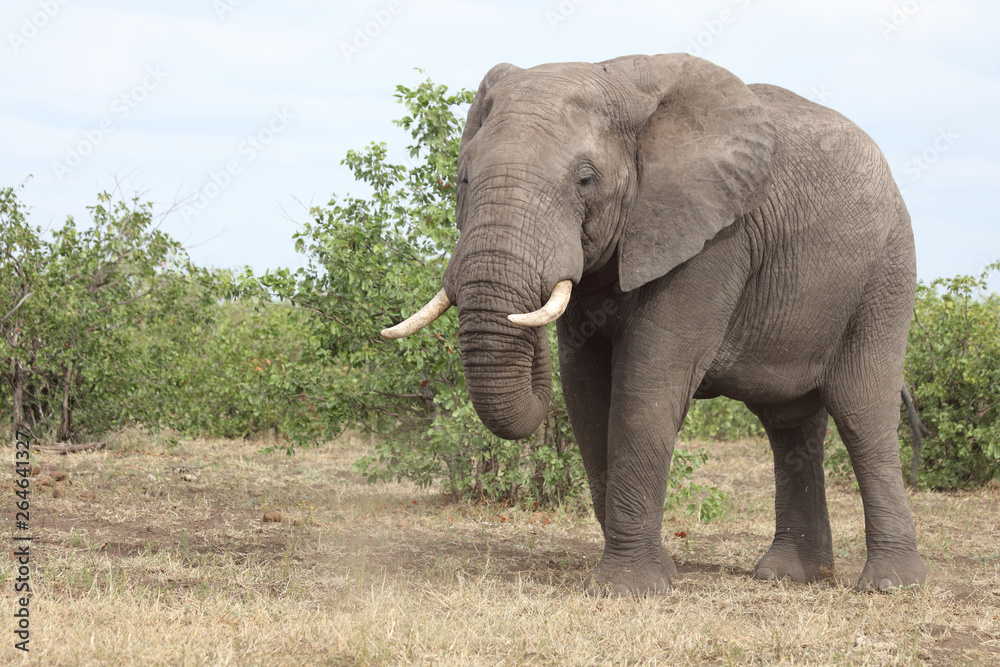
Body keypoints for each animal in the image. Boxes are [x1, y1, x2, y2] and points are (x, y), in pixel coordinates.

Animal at [380, 54, 928, 596]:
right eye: (463, 178)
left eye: (586, 180)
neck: (618, 79)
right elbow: (585, 392)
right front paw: (660, 571)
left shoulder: (712, 238)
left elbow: (647, 384)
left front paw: (627, 589)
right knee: (789, 424)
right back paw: (789, 575)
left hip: (887, 272)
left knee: (862, 410)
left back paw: (890, 585)